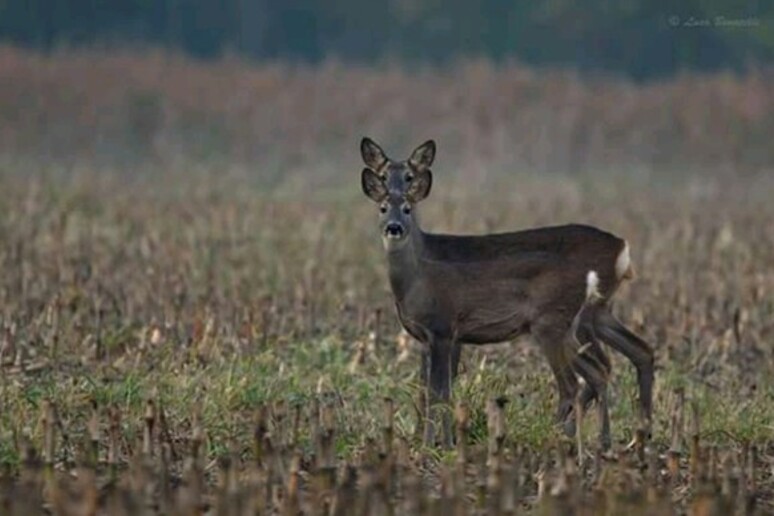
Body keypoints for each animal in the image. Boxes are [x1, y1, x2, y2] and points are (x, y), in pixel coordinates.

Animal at [362, 136, 656, 448]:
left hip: (559, 324)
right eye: (383, 177)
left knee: (579, 380)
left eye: (409, 177)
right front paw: (430, 439)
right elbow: (430, 387)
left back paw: (560, 436)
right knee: (632, 355)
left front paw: (437, 444)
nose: (394, 226)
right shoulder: (435, 336)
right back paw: (631, 436)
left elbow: (439, 390)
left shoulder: (445, 330)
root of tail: (622, 247)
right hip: (595, 314)